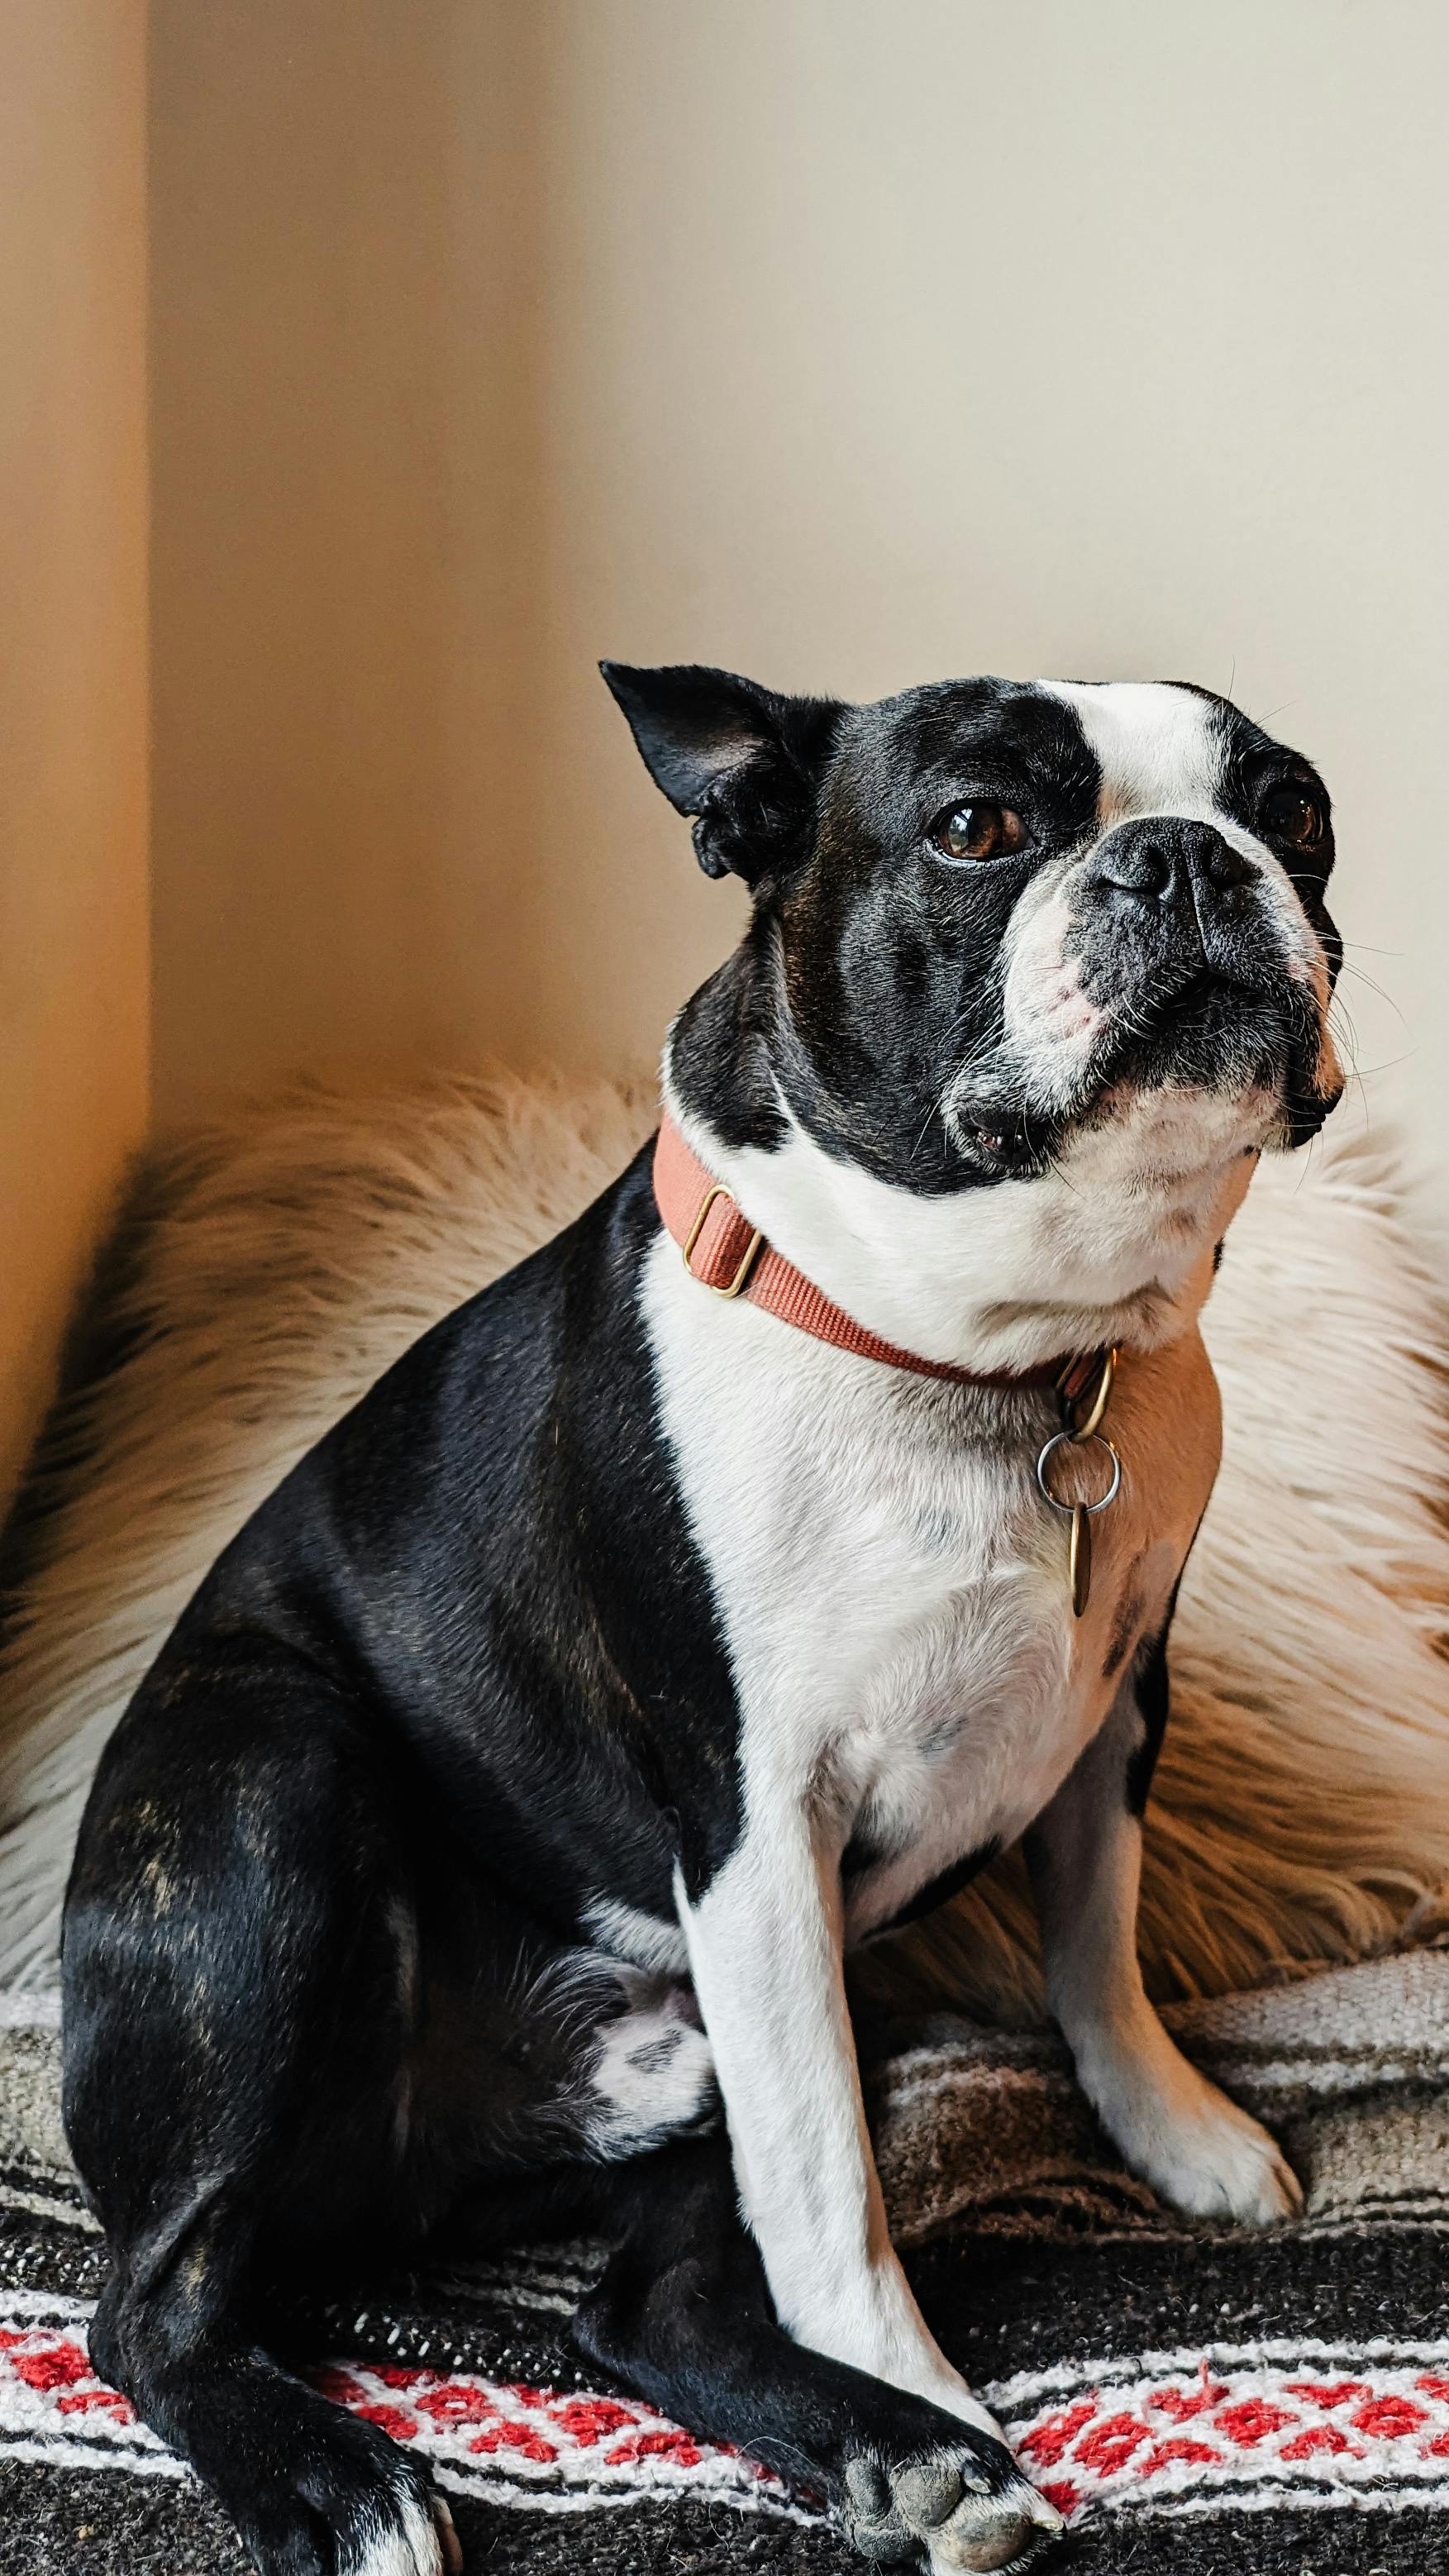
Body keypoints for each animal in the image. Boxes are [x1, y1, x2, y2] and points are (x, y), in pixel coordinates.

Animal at [62, 670, 1348, 2576]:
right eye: (978, 827)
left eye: (1293, 811)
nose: (1186, 853)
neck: (998, 1352)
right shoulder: (757, 1824)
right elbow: (830, 2191)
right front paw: (922, 2371)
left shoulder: (1117, 1708)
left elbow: (1096, 1955)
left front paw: (1171, 2133)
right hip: (268, 1784)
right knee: (151, 2306)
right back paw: (348, 2481)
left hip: (690, 2054)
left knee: (636, 2311)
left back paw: (897, 2460)